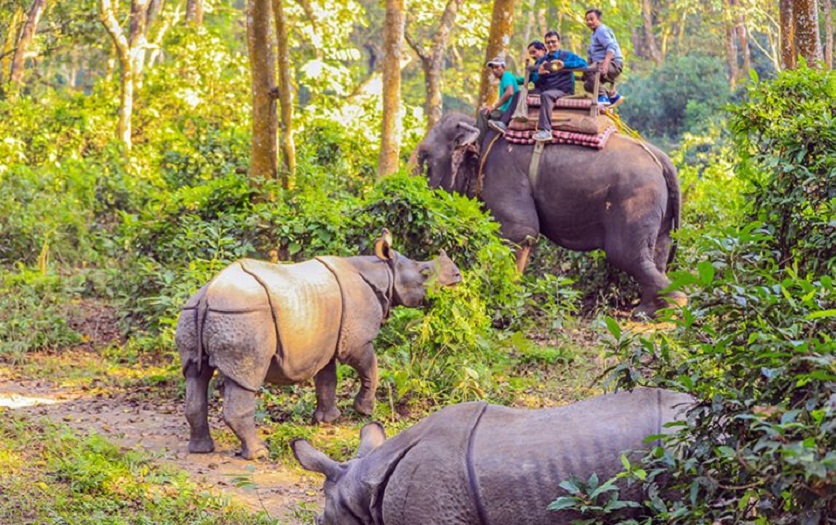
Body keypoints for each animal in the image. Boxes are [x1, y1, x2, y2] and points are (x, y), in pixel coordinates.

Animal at [177, 230, 464, 458]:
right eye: (424, 273)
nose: (458, 276)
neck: (384, 271)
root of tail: (208, 295)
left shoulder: (326, 339)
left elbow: (327, 379)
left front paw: (328, 420)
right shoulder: (356, 340)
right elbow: (370, 367)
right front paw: (365, 411)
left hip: (192, 312)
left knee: (195, 374)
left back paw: (201, 449)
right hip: (244, 316)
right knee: (245, 378)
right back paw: (259, 453)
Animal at [416, 110, 684, 316]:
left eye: (424, 156)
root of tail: (663, 160)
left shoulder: (504, 173)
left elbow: (520, 231)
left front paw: (504, 300)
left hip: (636, 199)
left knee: (627, 255)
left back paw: (674, 303)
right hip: (659, 209)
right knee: (656, 252)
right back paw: (650, 309)